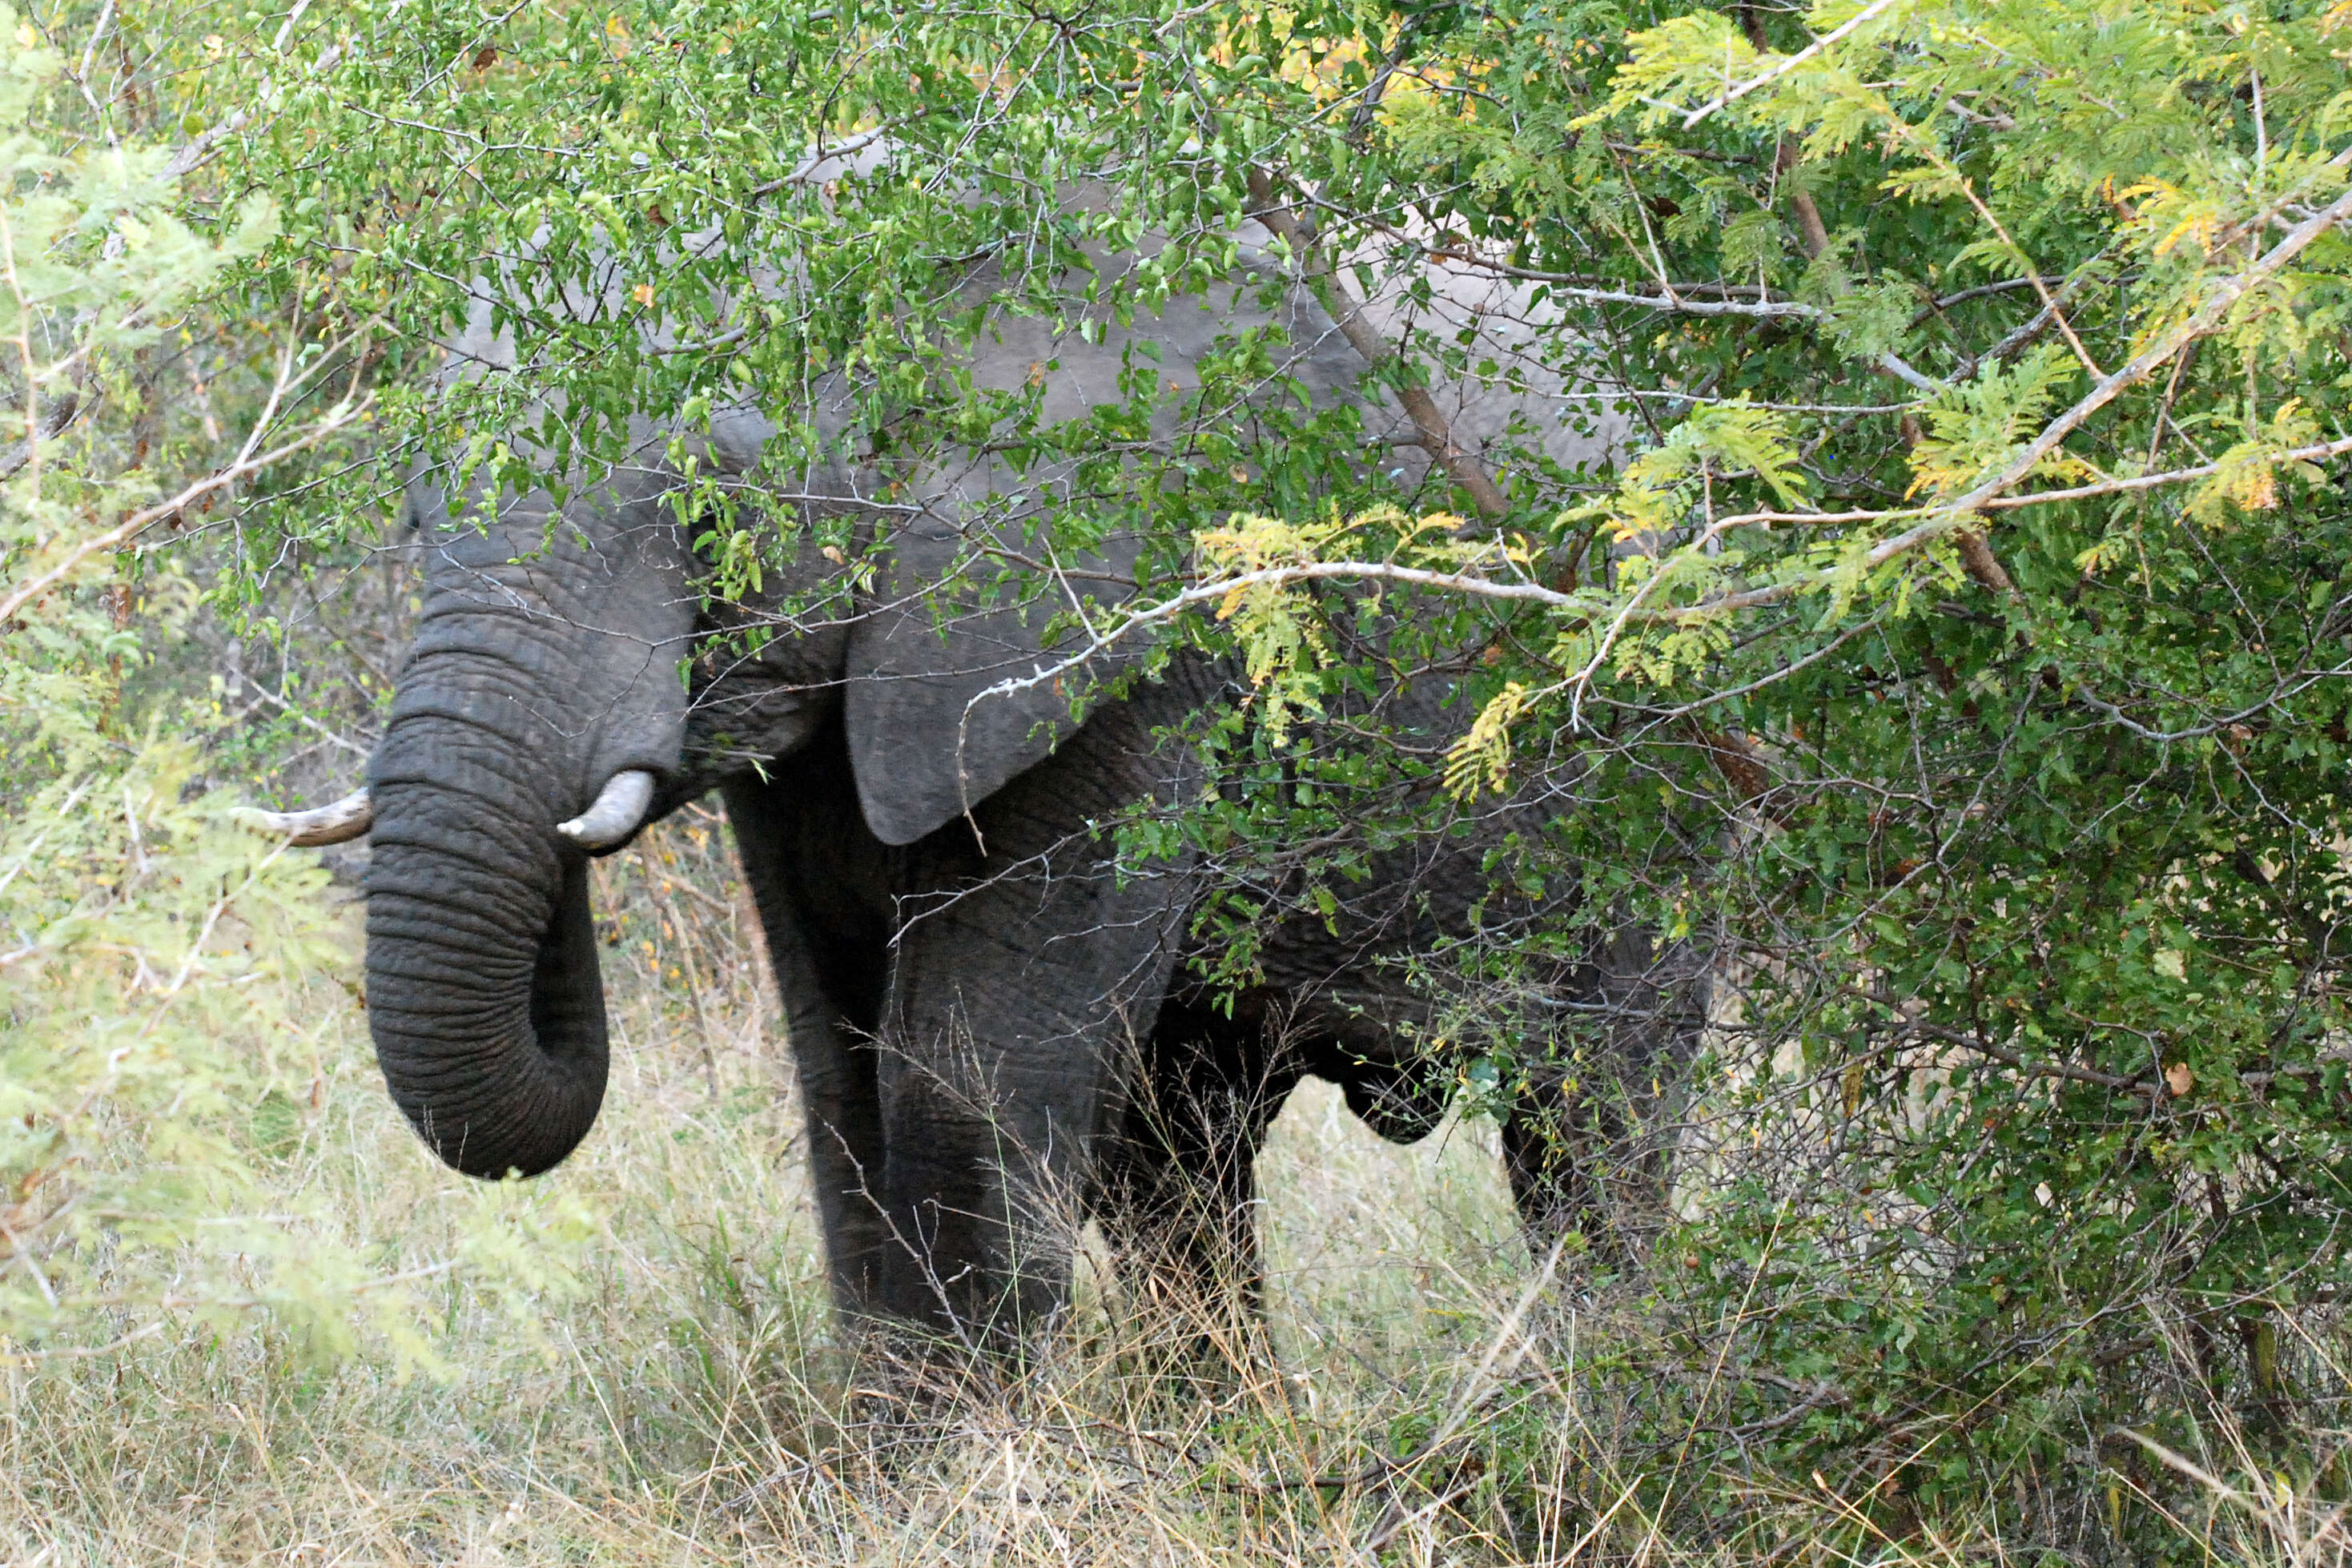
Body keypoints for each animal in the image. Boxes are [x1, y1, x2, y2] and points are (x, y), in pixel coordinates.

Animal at [243, 202, 1712, 1353]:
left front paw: (937, 1482)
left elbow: (954, 1085)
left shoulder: (1128, 626)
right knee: (1181, 1160)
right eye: (414, 516)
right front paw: (882, 1474)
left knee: (1596, 1132)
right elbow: (840, 1074)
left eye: (717, 515)